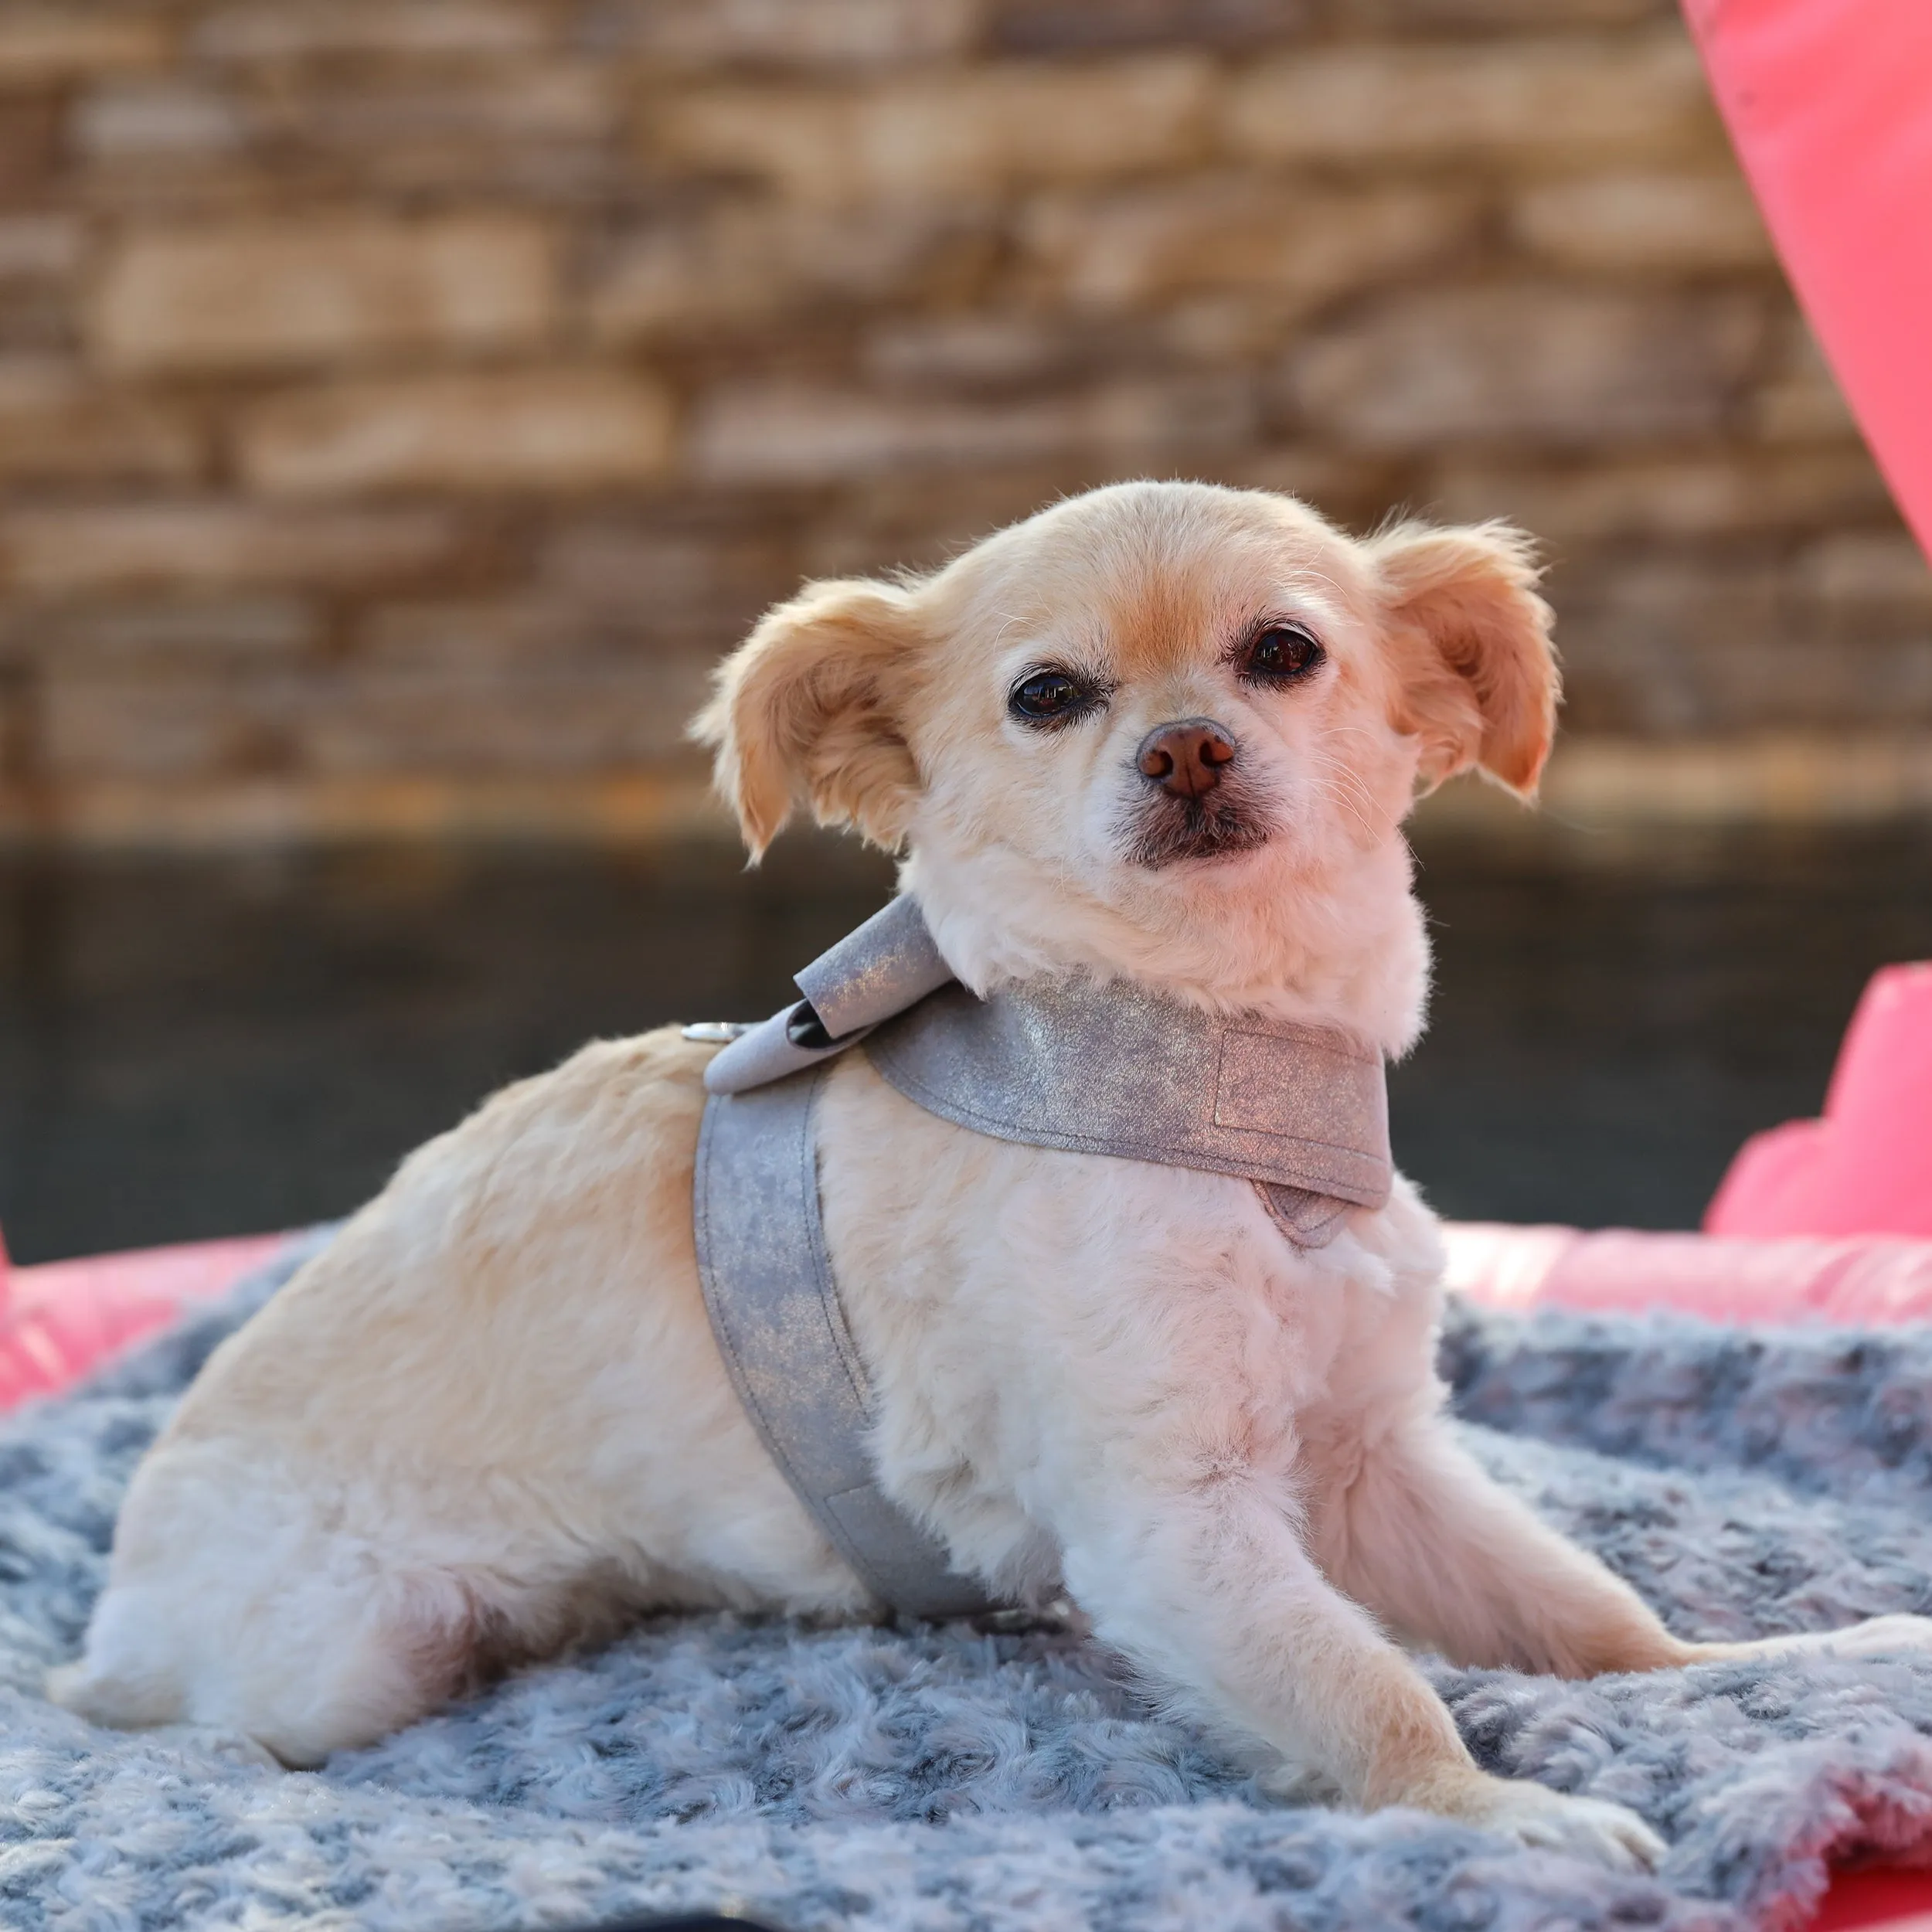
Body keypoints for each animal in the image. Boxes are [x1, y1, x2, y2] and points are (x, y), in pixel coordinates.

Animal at [49, 483, 1932, 1870]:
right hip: (346, 1646)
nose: (1185, 746)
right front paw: (1492, 1812)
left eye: (1283, 654)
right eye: (1047, 697)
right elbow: (1366, 1684)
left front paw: (1760, 1669)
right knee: (213, 1725)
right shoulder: (1169, 1520)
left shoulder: (1371, 1462)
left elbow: (1587, 1620)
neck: (1204, 1073)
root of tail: (125, 1597)